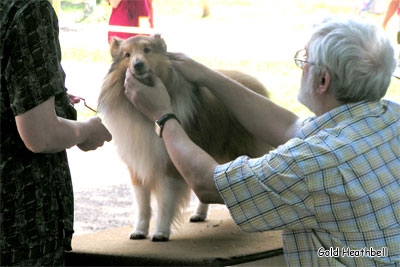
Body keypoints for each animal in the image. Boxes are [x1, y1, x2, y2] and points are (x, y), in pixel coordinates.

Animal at [98, 34, 270, 243]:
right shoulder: (138, 166)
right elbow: (143, 205)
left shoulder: (169, 166)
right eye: (127, 55)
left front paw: (161, 233)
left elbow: (165, 202)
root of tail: (252, 81)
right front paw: (139, 231)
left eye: (147, 50)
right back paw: (199, 214)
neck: (142, 114)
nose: (138, 65)